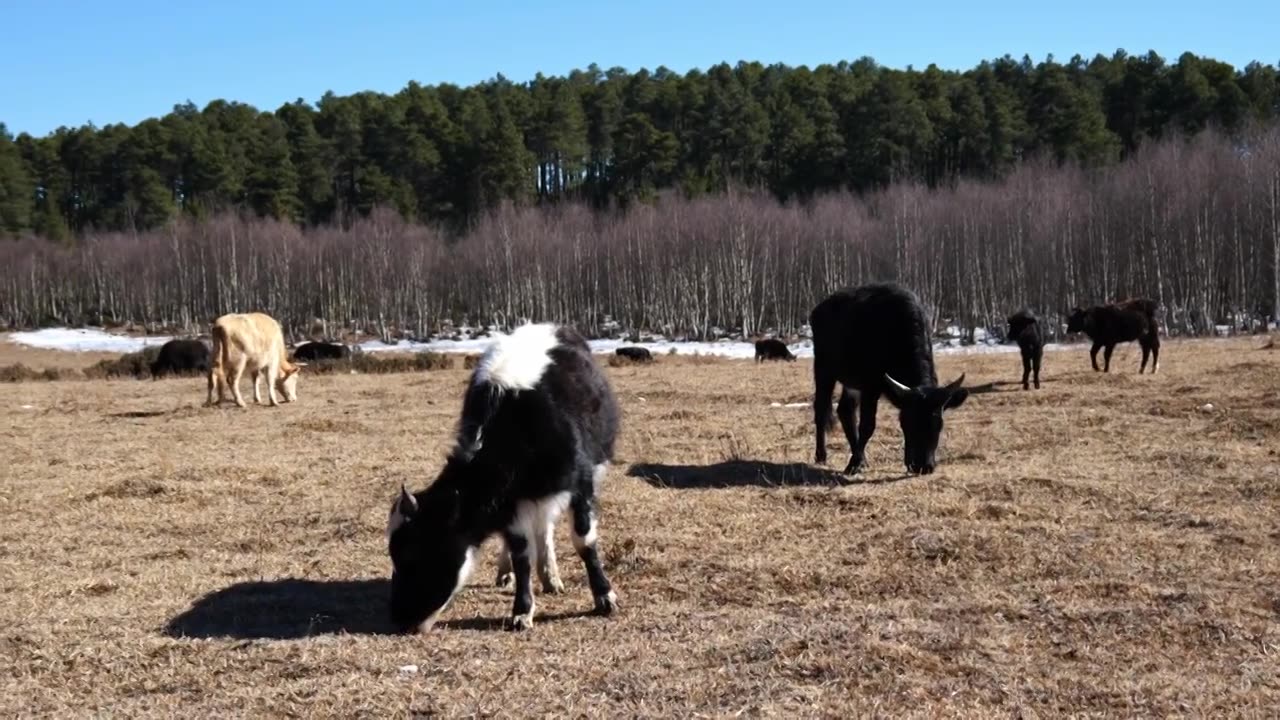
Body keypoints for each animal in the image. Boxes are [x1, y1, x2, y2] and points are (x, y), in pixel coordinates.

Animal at [384, 322, 619, 630]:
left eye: (415, 553)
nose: (400, 620)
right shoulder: (511, 506)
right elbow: (521, 554)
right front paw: (522, 610)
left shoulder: (581, 486)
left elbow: (585, 542)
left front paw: (605, 596)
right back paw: (518, 574)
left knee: (546, 527)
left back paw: (551, 578)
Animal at [808, 281, 967, 476]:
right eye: (906, 422)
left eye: (939, 424)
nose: (922, 466)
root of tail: (819, 309)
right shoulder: (870, 387)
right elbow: (867, 425)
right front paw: (853, 463)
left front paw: (858, 460)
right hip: (824, 370)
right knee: (821, 410)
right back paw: (821, 455)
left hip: (851, 383)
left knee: (845, 410)